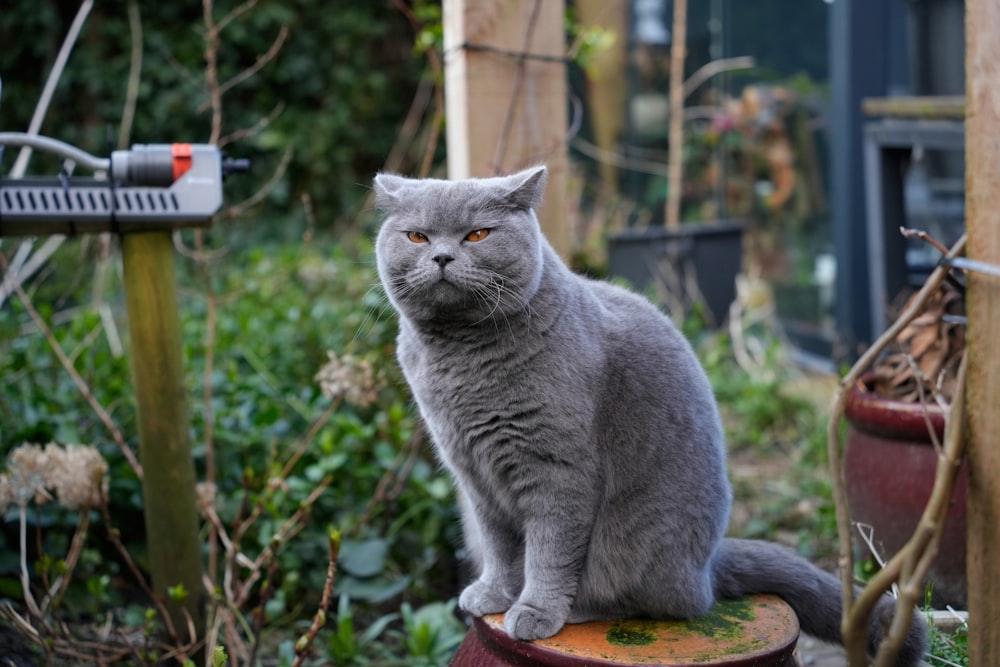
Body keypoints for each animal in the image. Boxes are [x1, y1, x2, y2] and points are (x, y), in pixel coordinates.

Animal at [374, 166, 928, 664]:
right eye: (418, 235)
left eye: (478, 234)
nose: (442, 255)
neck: (460, 361)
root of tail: (708, 566)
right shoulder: (475, 474)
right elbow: (498, 544)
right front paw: (492, 593)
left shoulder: (557, 471)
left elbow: (549, 550)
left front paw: (534, 611)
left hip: (634, 541)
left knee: (660, 602)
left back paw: (580, 609)